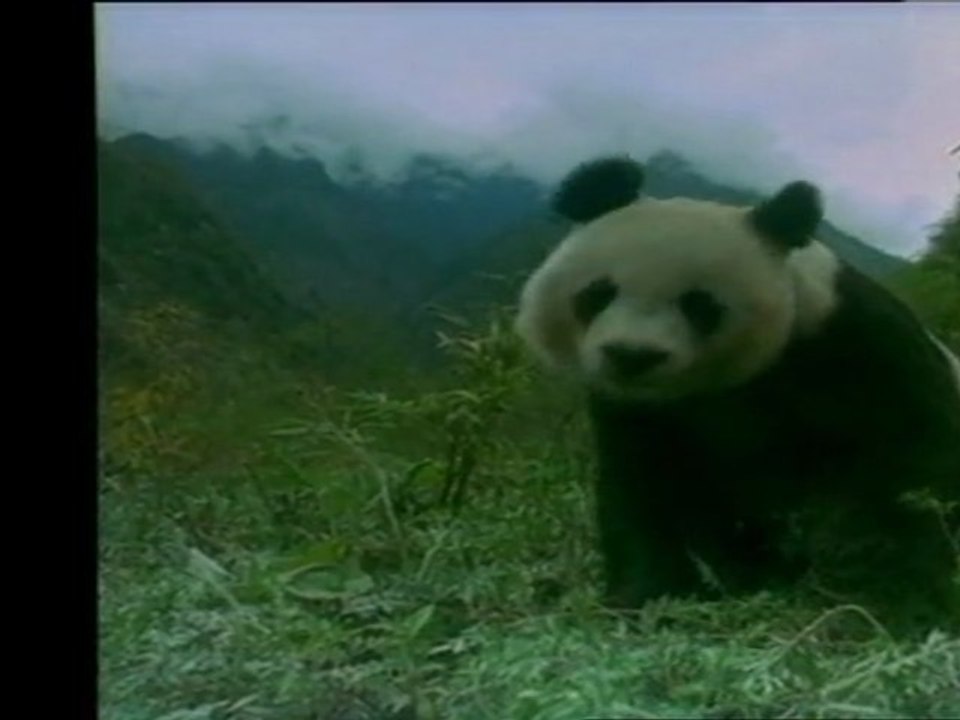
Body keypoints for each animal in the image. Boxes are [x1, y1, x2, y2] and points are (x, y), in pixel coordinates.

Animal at [515, 156, 960, 631]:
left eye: (699, 305)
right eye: (599, 292)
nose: (632, 355)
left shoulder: (857, 345)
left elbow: (918, 463)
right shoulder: (638, 411)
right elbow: (642, 491)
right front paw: (649, 598)